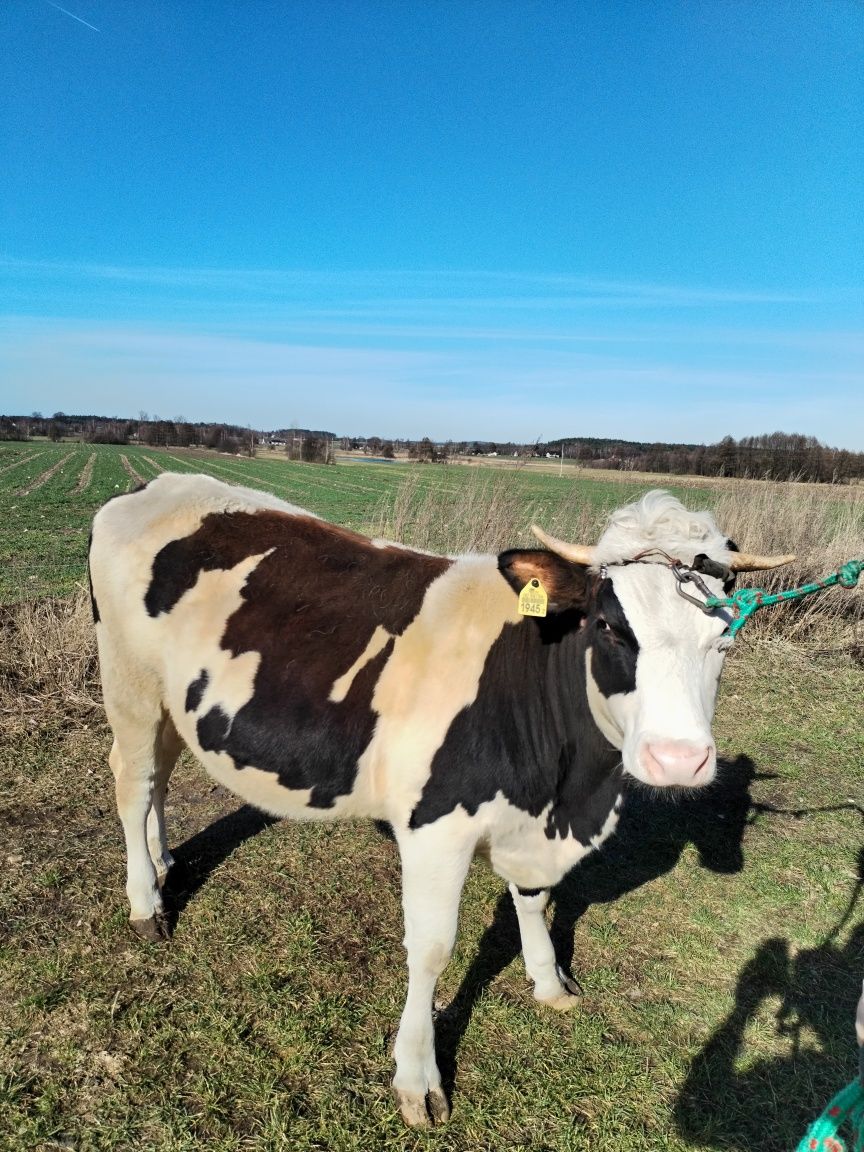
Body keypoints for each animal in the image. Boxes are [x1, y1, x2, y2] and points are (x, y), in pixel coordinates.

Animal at [91, 474, 797, 1124]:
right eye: (607, 625)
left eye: (725, 637)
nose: (677, 760)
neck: (569, 797)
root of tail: (156, 483)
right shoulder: (437, 828)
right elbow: (431, 948)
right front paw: (418, 1077)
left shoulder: (531, 829)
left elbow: (533, 902)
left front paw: (548, 979)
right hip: (128, 682)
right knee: (132, 781)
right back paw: (146, 902)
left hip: (172, 701)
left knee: (159, 774)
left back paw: (165, 861)